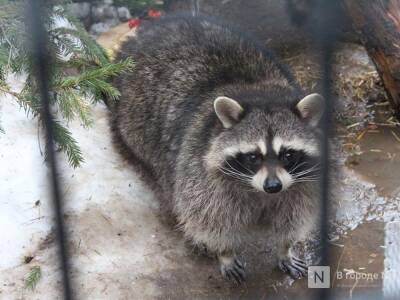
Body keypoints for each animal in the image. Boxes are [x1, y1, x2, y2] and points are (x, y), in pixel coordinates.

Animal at [110, 15, 324, 284]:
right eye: (253, 156)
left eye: (287, 154)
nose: (273, 186)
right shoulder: (200, 171)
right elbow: (210, 220)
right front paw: (225, 253)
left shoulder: (304, 181)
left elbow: (295, 216)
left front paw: (285, 248)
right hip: (134, 126)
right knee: (164, 180)